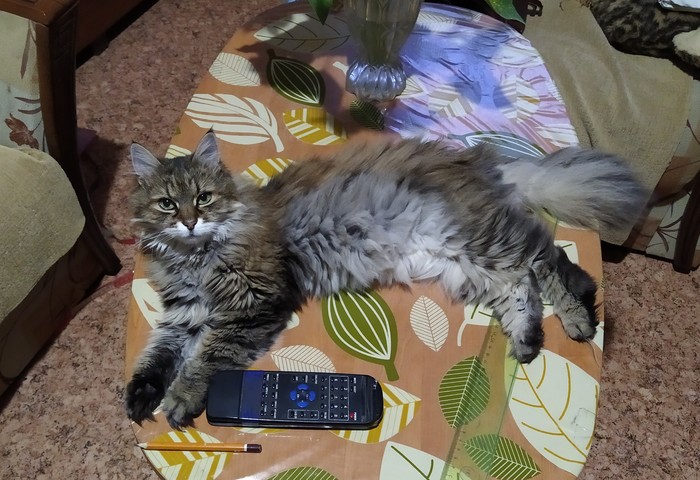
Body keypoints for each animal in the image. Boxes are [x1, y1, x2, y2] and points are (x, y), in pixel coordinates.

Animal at [125, 131, 646, 429]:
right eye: (167, 205)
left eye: (204, 198)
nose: (189, 221)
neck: (195, 259)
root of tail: (482, 163)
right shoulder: (184, 313)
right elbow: (159, 356)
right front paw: (141, 396)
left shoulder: (253, 302)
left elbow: (206, 359)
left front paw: (181, 398)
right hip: (464, 262)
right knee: (520, 285)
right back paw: (526, 339)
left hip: (479, 240)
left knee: (551, 260)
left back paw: (577, 318)